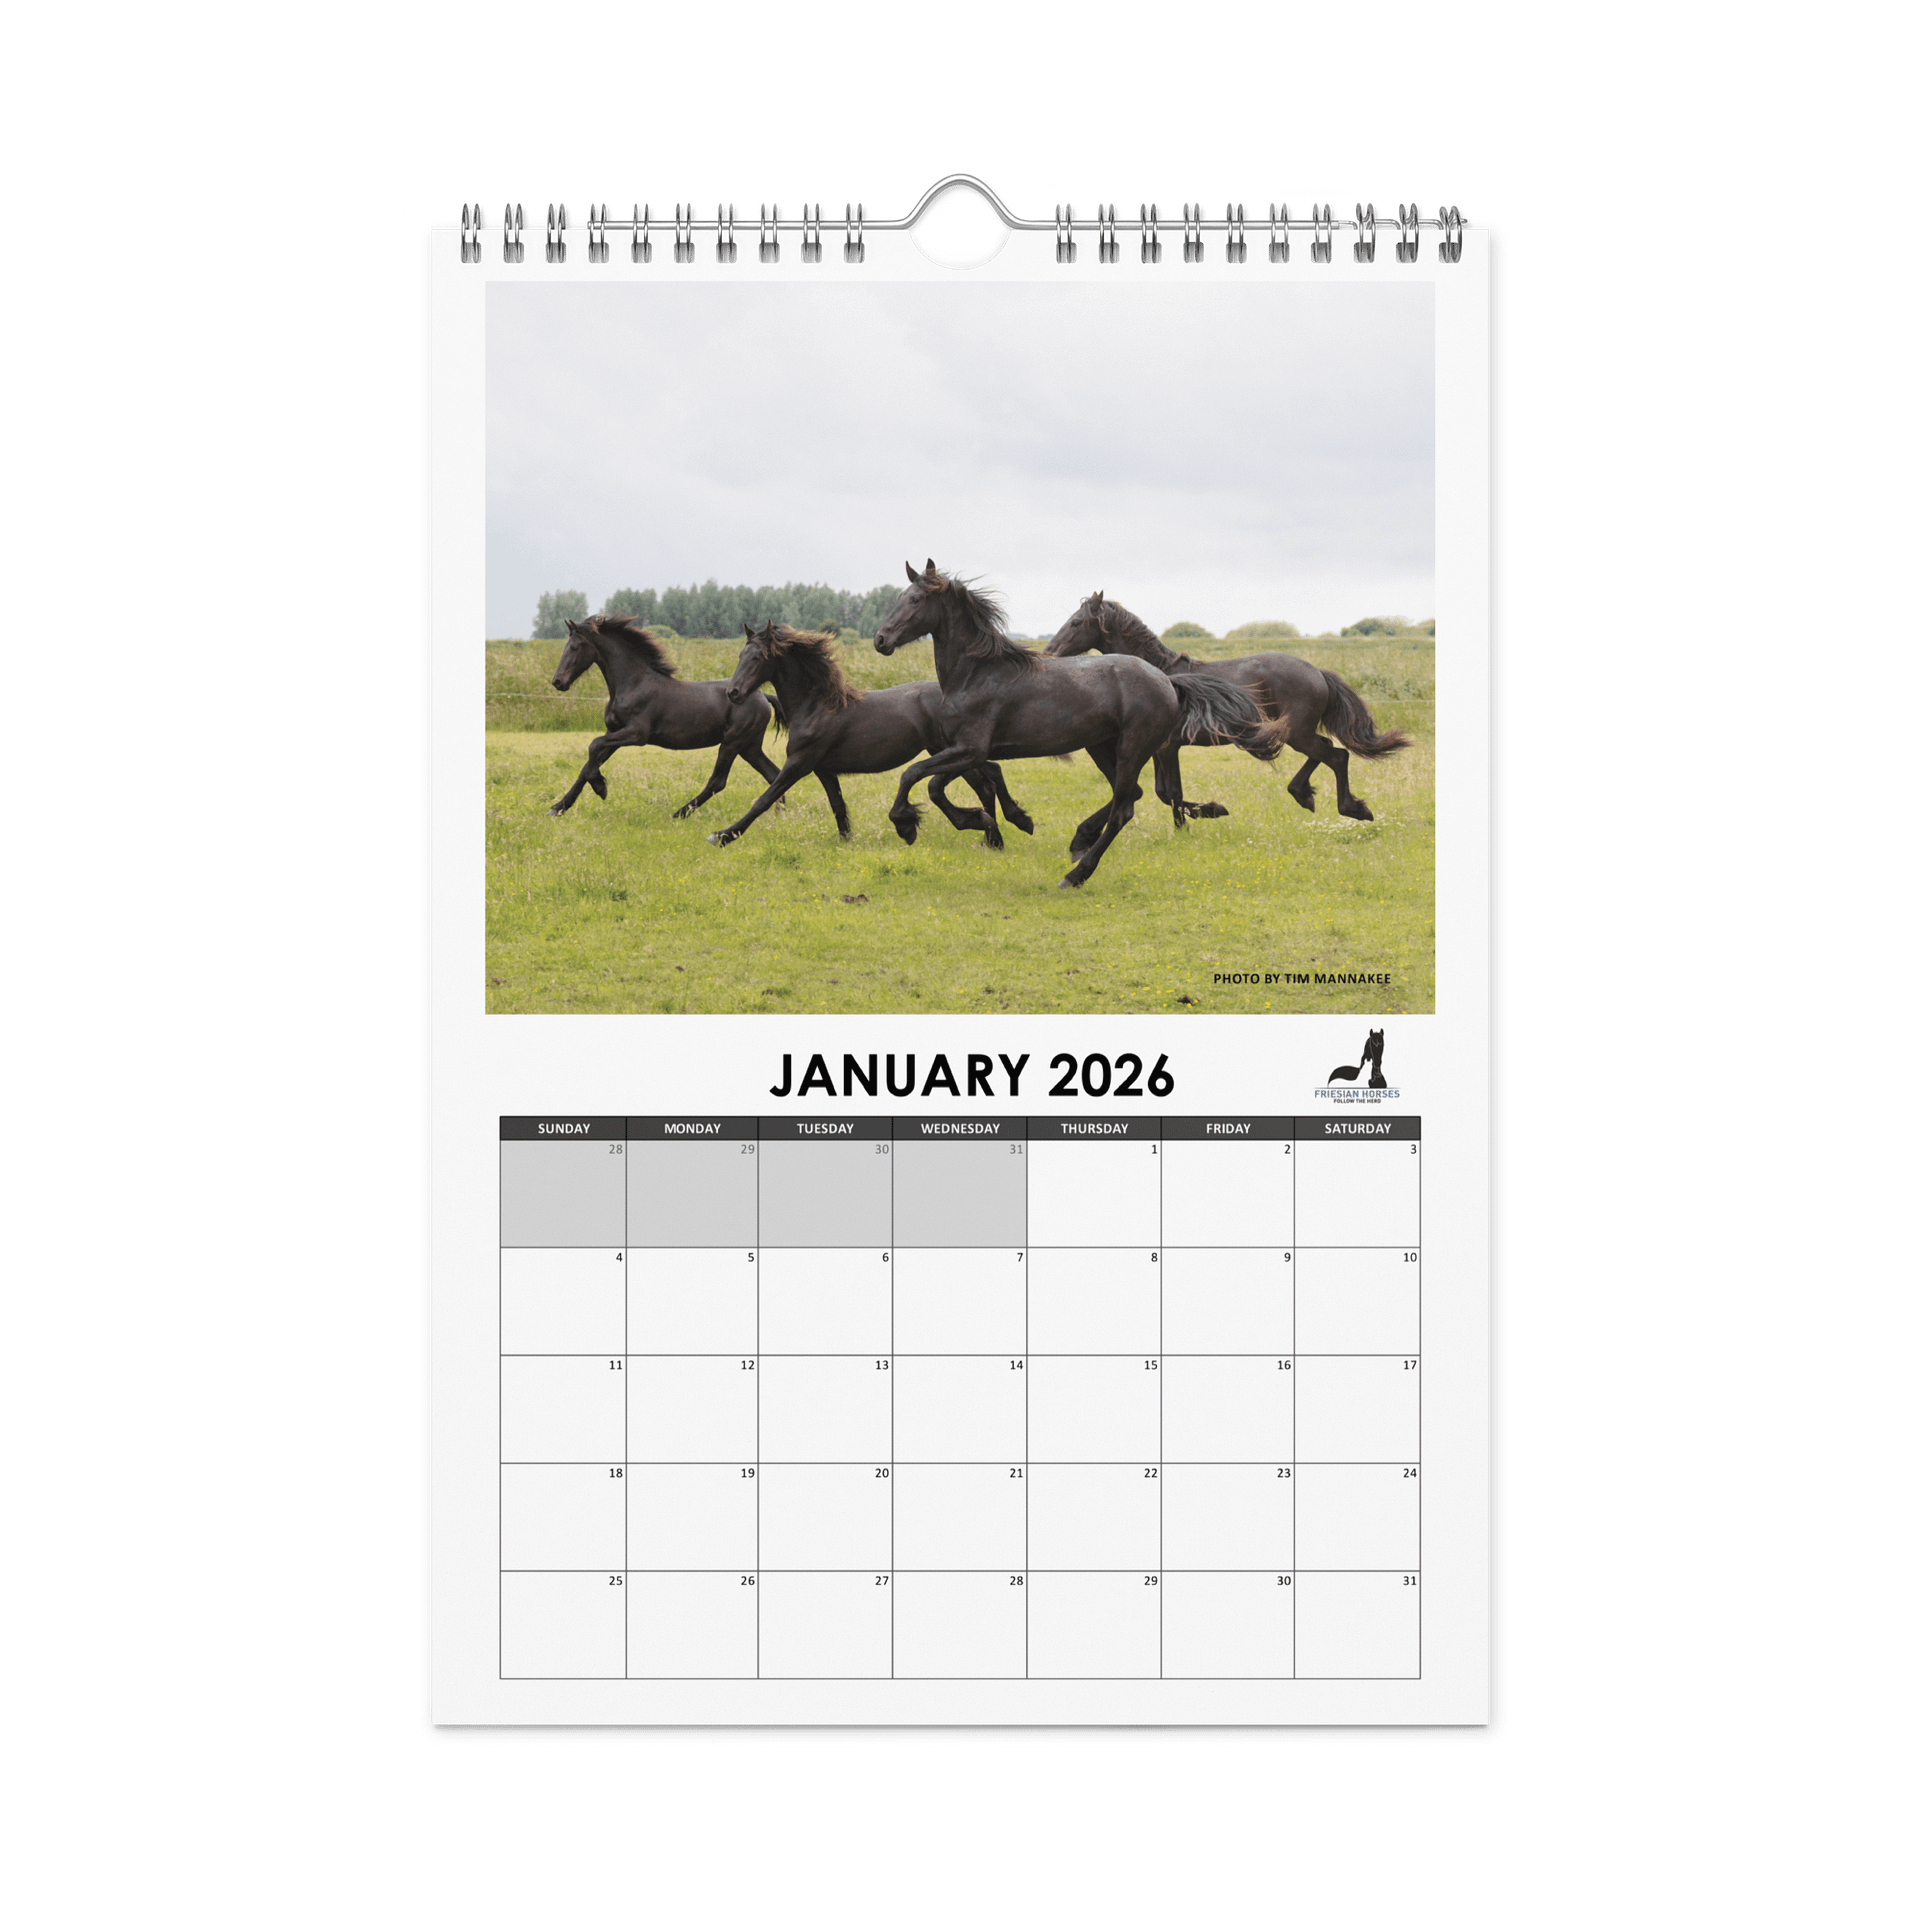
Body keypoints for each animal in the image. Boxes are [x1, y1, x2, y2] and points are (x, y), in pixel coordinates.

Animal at [543, 615, 787, 819]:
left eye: (575, 647)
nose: (558, 681)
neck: (633, 683)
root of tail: (762, 696)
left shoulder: (636, 734)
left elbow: (593, 746)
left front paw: (601, 788)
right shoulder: (615, 732)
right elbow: (588, 764)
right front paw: (558, 807)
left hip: (732, 743)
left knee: (718, 782)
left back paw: (678, 814)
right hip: (749, 747)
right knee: (773, 774)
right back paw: (779, 816)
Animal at [704, 621, 1039, 848]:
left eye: (758, 658)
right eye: (740, 655)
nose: (733, 693)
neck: (815, 706)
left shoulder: (799, 763)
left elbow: (764, 799)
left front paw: (722, 836)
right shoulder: (823, 769)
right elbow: (838, 806)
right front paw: (846, 842)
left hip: (951, 751)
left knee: (985, 782)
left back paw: (1001, 830)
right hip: (951, 752)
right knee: (990, 776)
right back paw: (1004, 831)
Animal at [872, 562, 1283, 889]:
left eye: (914, 600)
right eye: (900, 597)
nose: (880, 639)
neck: (976, 674)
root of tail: (1168, 681)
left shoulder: (969, 749)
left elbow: (916, 776)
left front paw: (908, 824)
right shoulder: (965, 750)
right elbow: (941, 784)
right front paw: (1002, 820)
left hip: (1132, 748)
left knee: (1124, 810)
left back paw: (1077, 873)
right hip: (1101, 746)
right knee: (1129, 796)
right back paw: (1078, 843)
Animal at [1044, 592, 1410, 822]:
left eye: (1076, 622)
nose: (1049, 651)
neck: (1159, 674)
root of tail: (1317, 672)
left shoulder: (1167, 748)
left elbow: (1171, 792)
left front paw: (1194, 822)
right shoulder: (1162, 749)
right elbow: (1164, 792)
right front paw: (1208, 812)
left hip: (1296, 733)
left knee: (1336, 756)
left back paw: (1351, 808)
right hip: (1297, 733)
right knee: (1328, 753)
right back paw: (1305, 794)